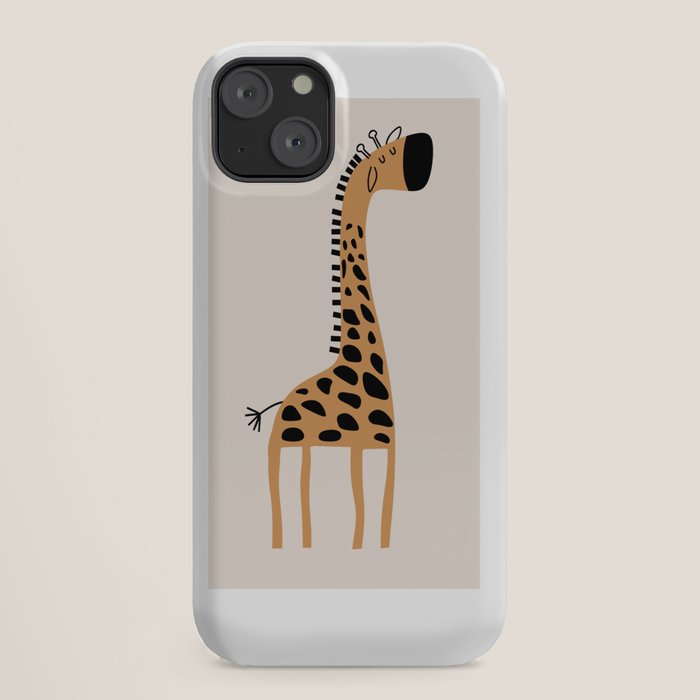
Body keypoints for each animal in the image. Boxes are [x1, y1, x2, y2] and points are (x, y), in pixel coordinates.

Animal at [246, 126, 433, 549]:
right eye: (388, 155)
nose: (425, 147)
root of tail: (276, 413)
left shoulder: (376, 448)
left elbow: (370, 512)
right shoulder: (380, 444)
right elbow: (370, 511)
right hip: (293, 449)